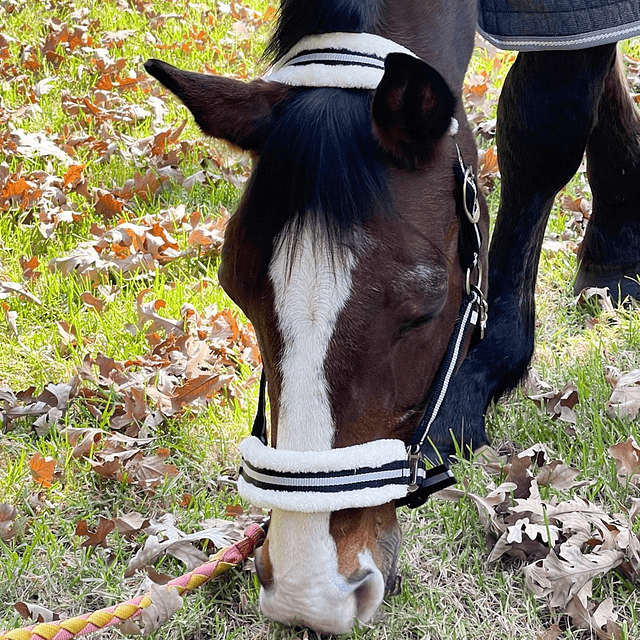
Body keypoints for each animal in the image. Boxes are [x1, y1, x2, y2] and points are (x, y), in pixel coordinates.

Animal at [145, 0, 640, 632]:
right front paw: (614, 253)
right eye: (235, 289)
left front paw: (480, 381)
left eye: (423, 308)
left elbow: (546, 128)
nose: (310, 593)